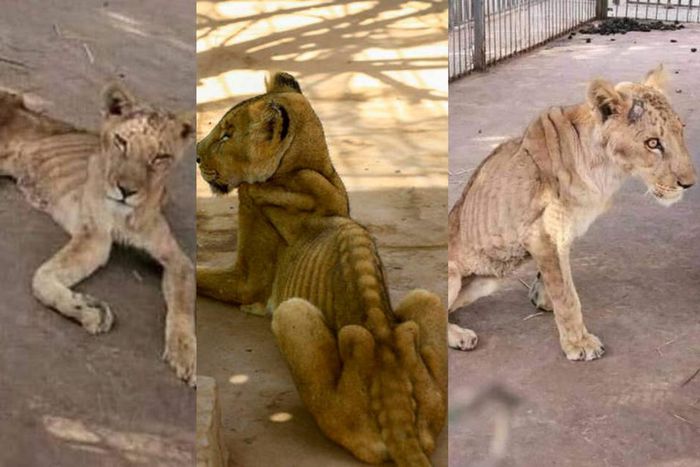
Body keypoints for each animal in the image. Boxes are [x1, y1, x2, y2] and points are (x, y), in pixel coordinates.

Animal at [0, 84, 196, 384]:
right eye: (121, 142)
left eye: (160, 157)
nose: (126, 191)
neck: (126, 216)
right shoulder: (95, 238)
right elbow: (41, 279)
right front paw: (91, 311)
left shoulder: (177, 259)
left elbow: (183, 304)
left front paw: (184, 353)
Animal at [197, 72, 447, 466]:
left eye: (226, 134)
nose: (194, 155)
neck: (306, 168)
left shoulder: (246, 277)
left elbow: (202, 273)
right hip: (428, 303)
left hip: (291, 314)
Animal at [448, 65, 696, 361]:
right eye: (652, 143)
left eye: (681, 131)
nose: (689, 183)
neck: (606, 170)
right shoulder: (543, 234)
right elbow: (566, 295)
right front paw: (579, 343)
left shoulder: (558, 235)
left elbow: (556, 280)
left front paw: (541, 298)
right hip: (453, 275)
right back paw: (460, 336)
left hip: (487, 282)